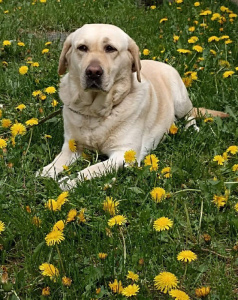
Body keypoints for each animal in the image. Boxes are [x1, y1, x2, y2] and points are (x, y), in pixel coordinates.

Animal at [37, 23, 229, 189]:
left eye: (110, 48)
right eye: (82, 48)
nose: (93, 72)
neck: (96, 111)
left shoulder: (123, 154)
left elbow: (91, 169)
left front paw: (68, 181)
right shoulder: (73, 147)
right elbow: (57, 162)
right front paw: (44, 173)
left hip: (180, 98)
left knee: (190, 115)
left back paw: (191, 129)